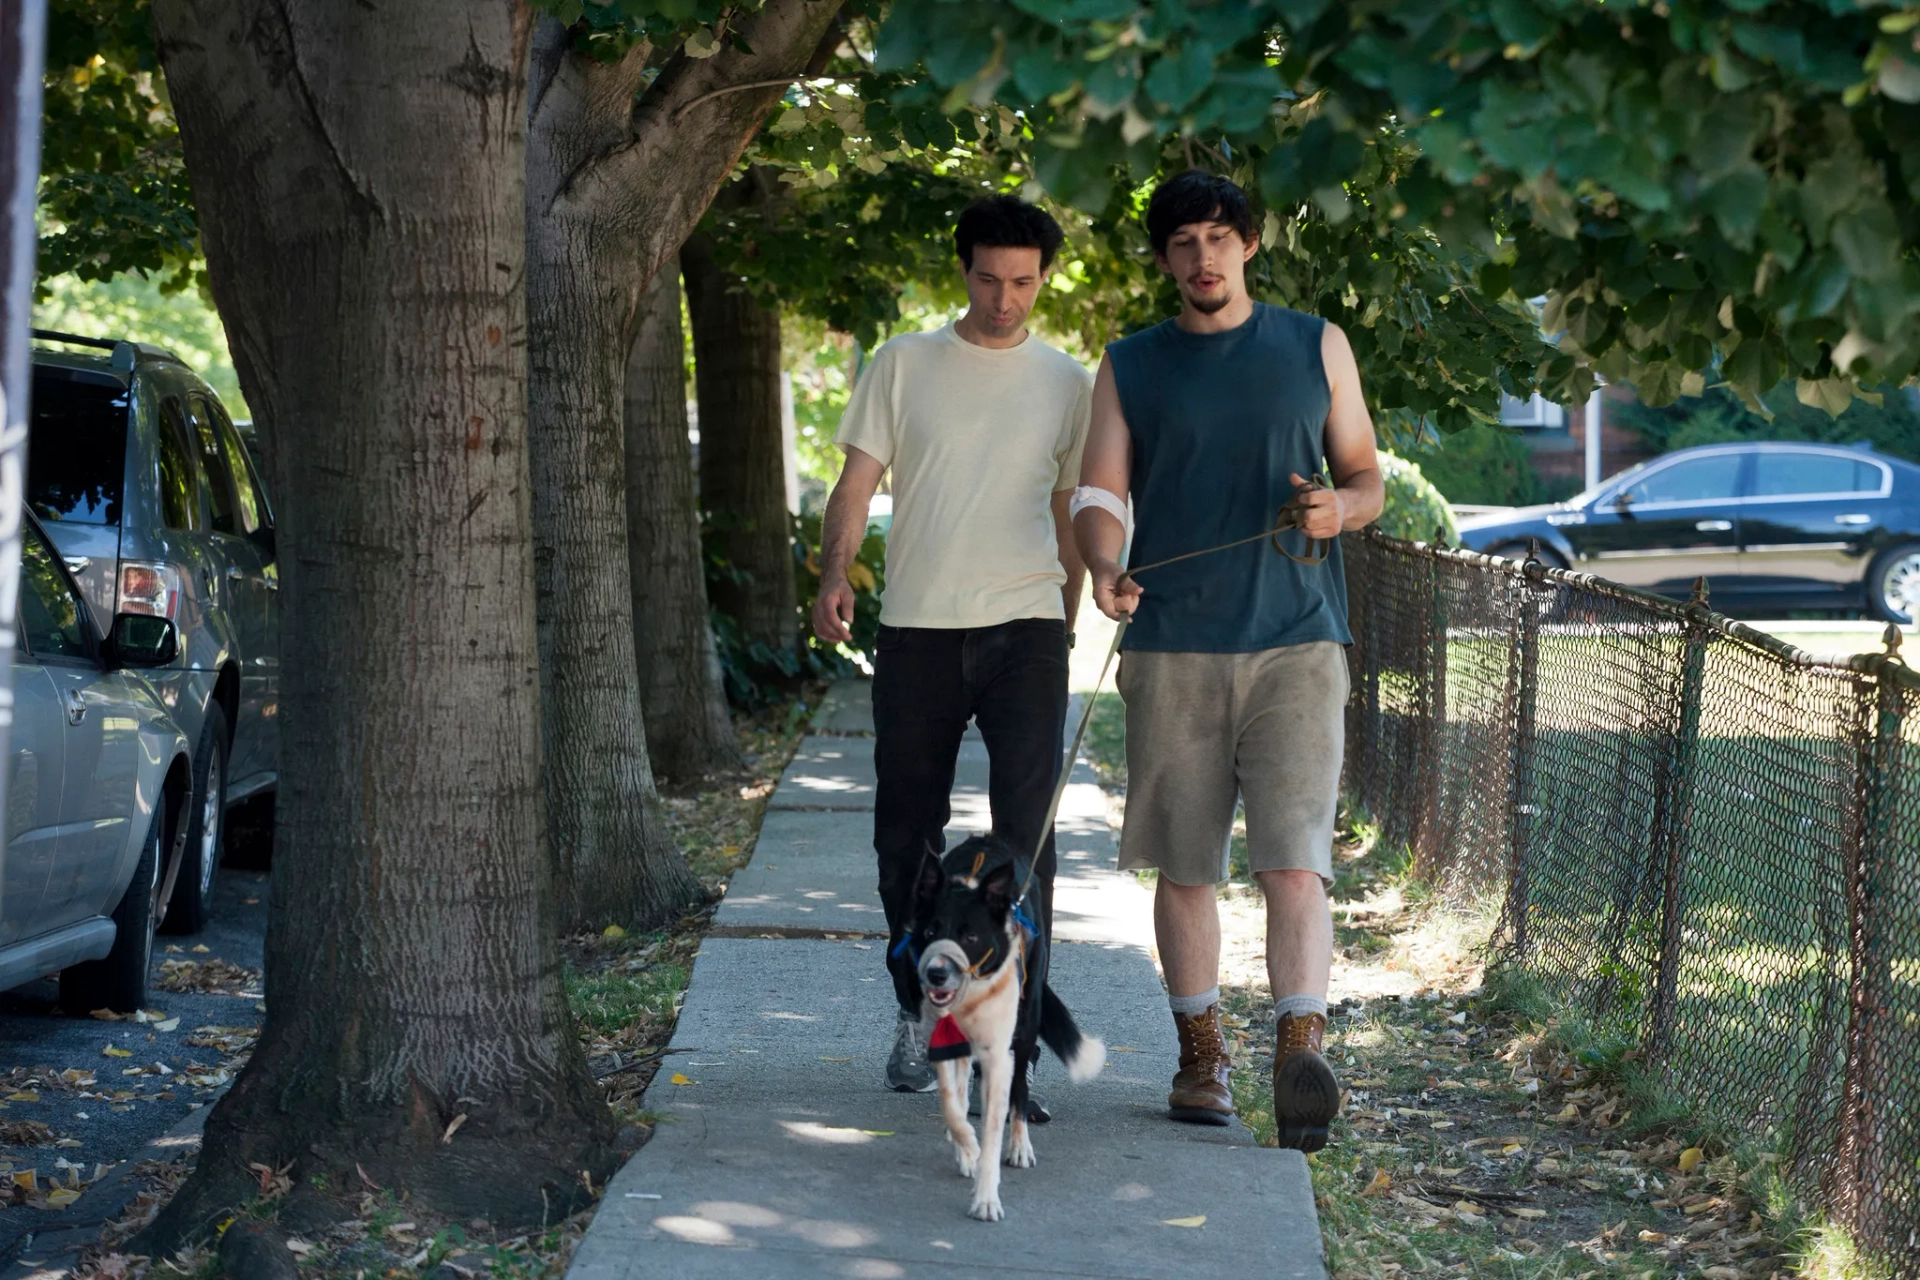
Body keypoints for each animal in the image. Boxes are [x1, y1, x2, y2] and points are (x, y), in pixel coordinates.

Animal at [906, 836, 1105, 1228]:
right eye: (931, 932)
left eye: (970, 936)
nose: (936, 974)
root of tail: (991, 840)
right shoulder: (944, 1043)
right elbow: (952, 1105)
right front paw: (967, 1147)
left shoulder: (999, 1055)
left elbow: (997, 1120)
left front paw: (986, 1198)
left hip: (1026, 1023)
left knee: (1020, 1090)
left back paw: (1020, 1146)